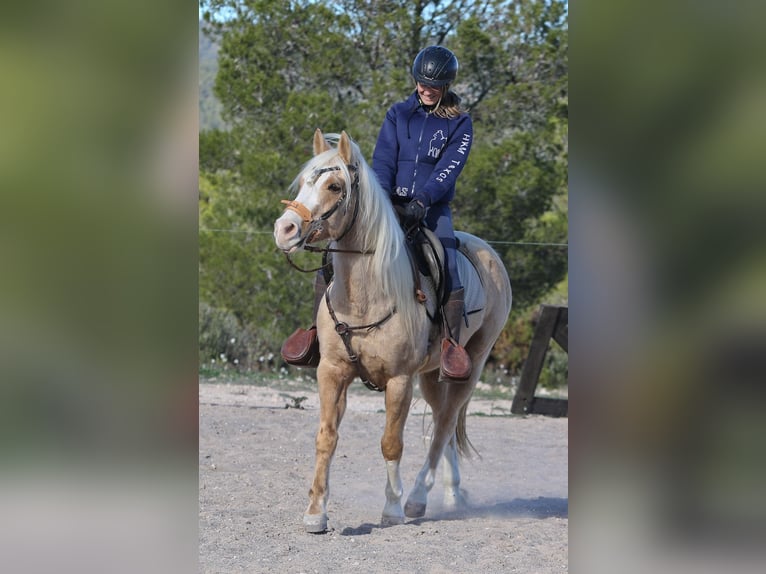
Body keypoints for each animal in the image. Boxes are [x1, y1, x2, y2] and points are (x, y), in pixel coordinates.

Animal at [272, 130, 512, 536]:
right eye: (304, 181)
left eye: (334, 186)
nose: (285, 229)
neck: (366, 296)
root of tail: (490, 253)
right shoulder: (332, 372)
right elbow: (326, 438)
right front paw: (316, 512)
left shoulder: (399, 380)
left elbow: (391, 443)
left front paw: (392, 508)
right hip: (432, 375)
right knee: (443, 423)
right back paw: (452, 493)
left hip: (471, 367)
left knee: (445, 423)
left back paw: (416, 496)